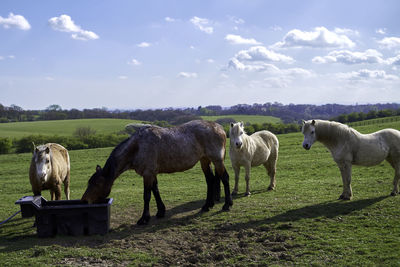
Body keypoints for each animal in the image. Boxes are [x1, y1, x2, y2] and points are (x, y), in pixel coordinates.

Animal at [81, 120, 233, 225]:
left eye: (96, 184)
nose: (84, 200)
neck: (137, 147)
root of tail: (219, 127)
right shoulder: (152, 173)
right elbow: (156, 190)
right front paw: (160, 211)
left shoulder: (147, 174)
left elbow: (147, 195)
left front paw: (144, 218)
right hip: (204, 160)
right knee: (210, 180)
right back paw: (207, 205)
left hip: (217, 160)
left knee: (224, 178)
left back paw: (227, 204)